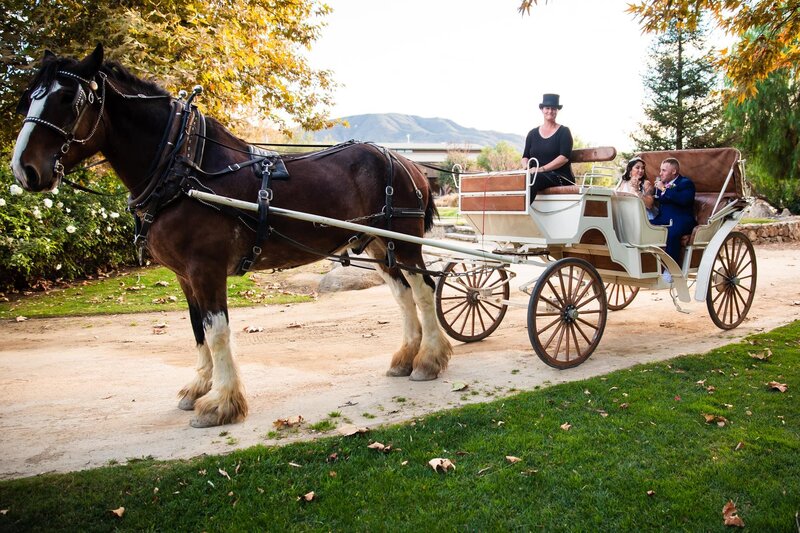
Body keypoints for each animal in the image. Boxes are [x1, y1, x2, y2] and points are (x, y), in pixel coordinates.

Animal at [9, 45, 454, 428]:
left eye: (69, 99)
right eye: (28, 98)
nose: (23, 169)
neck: (182, 165)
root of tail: (406, 162)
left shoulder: (205, 268)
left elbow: (217, 330)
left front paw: (221, 403)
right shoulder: (184, 275)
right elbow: (197, 328)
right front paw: (198, 387)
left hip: (404, 241)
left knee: (423, 288)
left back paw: (429, 360)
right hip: (380, 245)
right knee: (403, 295)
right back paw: (406, 357)